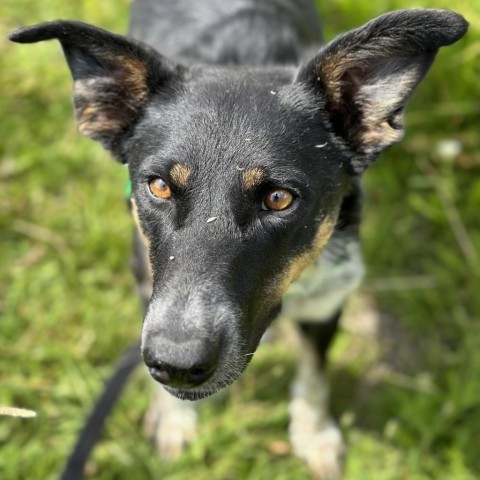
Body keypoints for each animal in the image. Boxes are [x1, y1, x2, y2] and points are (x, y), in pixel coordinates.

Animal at [9, 1, 466, 478]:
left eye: (279, 198)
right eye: (159, 187)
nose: (177, 364)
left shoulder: (329, 296)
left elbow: (314, 371)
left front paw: (314, 433)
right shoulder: (145, 281)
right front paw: (174, 421)